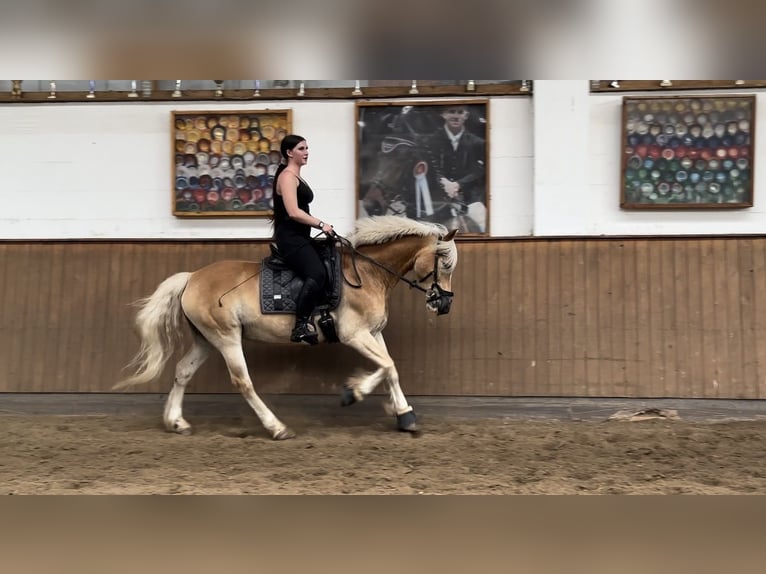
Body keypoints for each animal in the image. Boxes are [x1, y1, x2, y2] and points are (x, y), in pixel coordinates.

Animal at [114, 216, 460, 440]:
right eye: (444, 265)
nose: (443, 305)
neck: (366, 273)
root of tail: (192, 277)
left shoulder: (373, 332)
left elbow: (391, 369)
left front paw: (405, 415)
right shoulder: (355, 335)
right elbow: (387, 365)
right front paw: (353, 393)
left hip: (205, 339)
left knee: (183, 371)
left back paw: (176, 422)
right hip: (226, 337)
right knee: (243, 382)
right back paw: (277, 428)